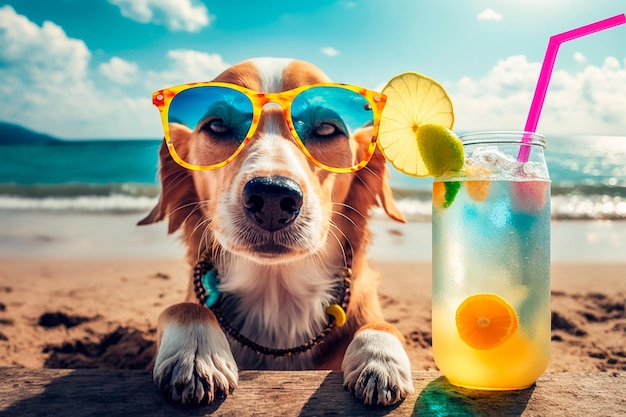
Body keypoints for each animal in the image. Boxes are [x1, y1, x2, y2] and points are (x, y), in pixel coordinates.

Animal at [138, 57, 412, 404]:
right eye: (217, 126)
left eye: (326, 129)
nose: (271, 197)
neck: (277, 295)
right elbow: (183, 306)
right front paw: (196, 355)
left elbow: (383, 324)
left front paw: (379, 358)